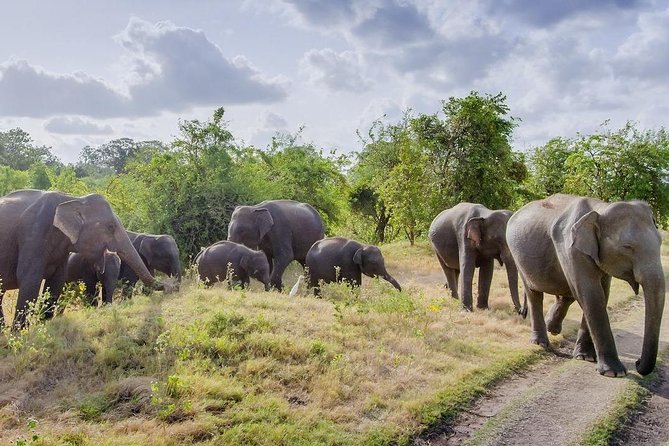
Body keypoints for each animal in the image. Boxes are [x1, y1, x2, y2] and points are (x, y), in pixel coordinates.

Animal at [0, 189, 170, 328]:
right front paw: (20, 335)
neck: (72, 199)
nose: (169, 287)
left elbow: (56, 281)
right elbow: (30, 279)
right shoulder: (33, 235)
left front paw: (45, 326)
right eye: (110, 227)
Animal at [506, 194, 665, 377]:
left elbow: (602, 293)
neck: (601, 209)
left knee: (567, 293)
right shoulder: (571, 248)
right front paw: (614, 372)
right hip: (517, 256)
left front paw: (585, 357)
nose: (638, 362)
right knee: (534, 294)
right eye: (627, 247)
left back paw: (552, 328)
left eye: (661, 242)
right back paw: (540, 342)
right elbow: (591, 295)